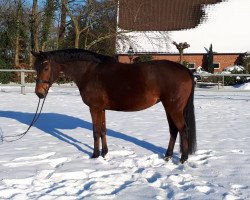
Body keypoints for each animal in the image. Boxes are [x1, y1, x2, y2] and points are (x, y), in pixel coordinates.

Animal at [31, 48, 196, 164]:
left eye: (45, 68)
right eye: (35, 68)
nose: (39, 93)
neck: (89, 72)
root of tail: (185, 70)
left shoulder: (94, 108)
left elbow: (96, 131)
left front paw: (95, 155)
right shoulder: (102, 109)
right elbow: (103, 130)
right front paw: (105, 153)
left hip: (174, 108)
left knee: (183, 129)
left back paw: (183, 158)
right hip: (169, 108)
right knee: (173, 130)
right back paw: (168, 156)